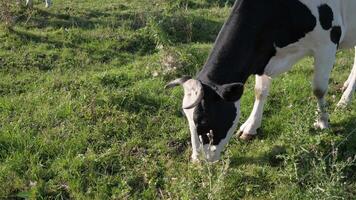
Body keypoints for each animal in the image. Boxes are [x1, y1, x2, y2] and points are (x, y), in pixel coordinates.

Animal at [166, 0, 356, 162]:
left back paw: (344, 100)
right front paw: (250, 127)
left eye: (204, 120)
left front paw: (322, 121)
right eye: (187, 118)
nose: (197, 161)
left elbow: (318, 89)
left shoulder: (327, 44)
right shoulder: (262, 52)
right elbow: (260, 92)